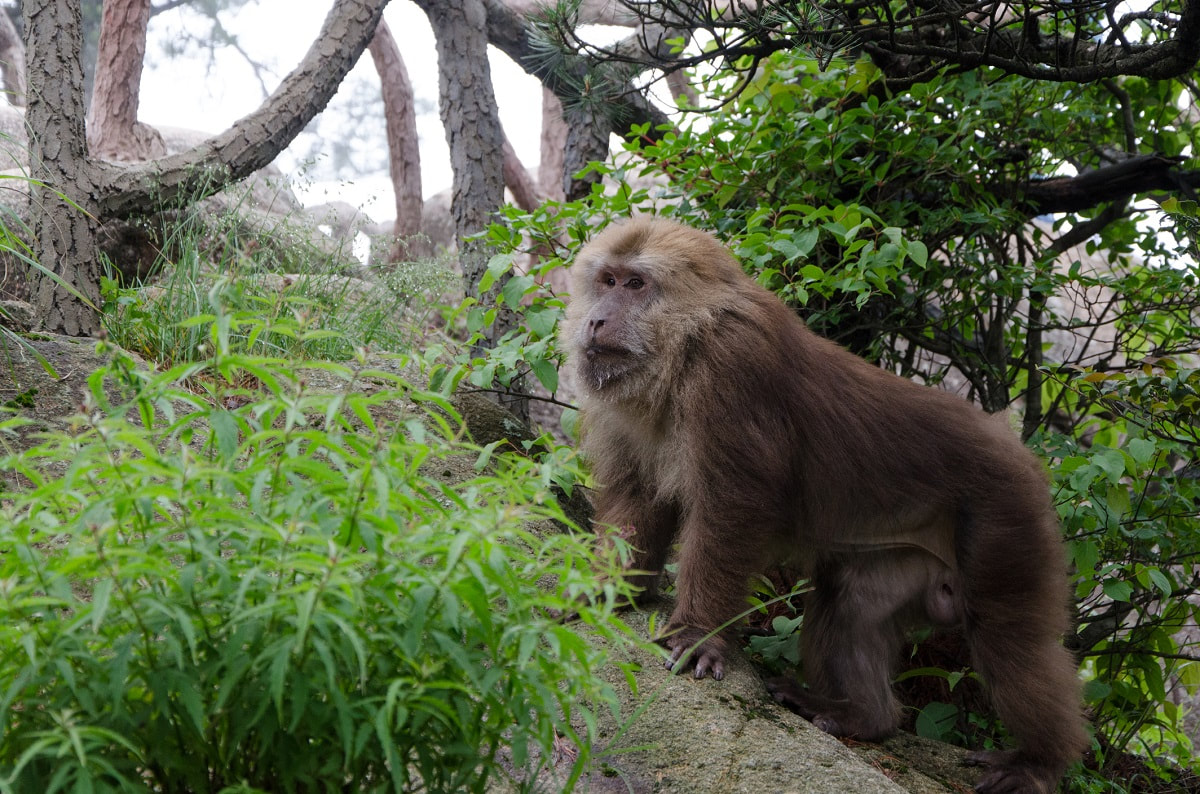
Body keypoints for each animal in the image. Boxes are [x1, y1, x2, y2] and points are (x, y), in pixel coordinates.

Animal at [561, 218, 1089, 794]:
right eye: (607, 280)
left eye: (636, 285)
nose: (596, 319)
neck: (685, 343)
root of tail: (1020, 451)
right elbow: (636, 498)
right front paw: (605, 591)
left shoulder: (731, 368)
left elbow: (732, 508)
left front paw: (701, 633)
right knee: (852, 601)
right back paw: (863, 716)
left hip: (1006, 515)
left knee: (1008, 639)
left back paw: (1041, 761)